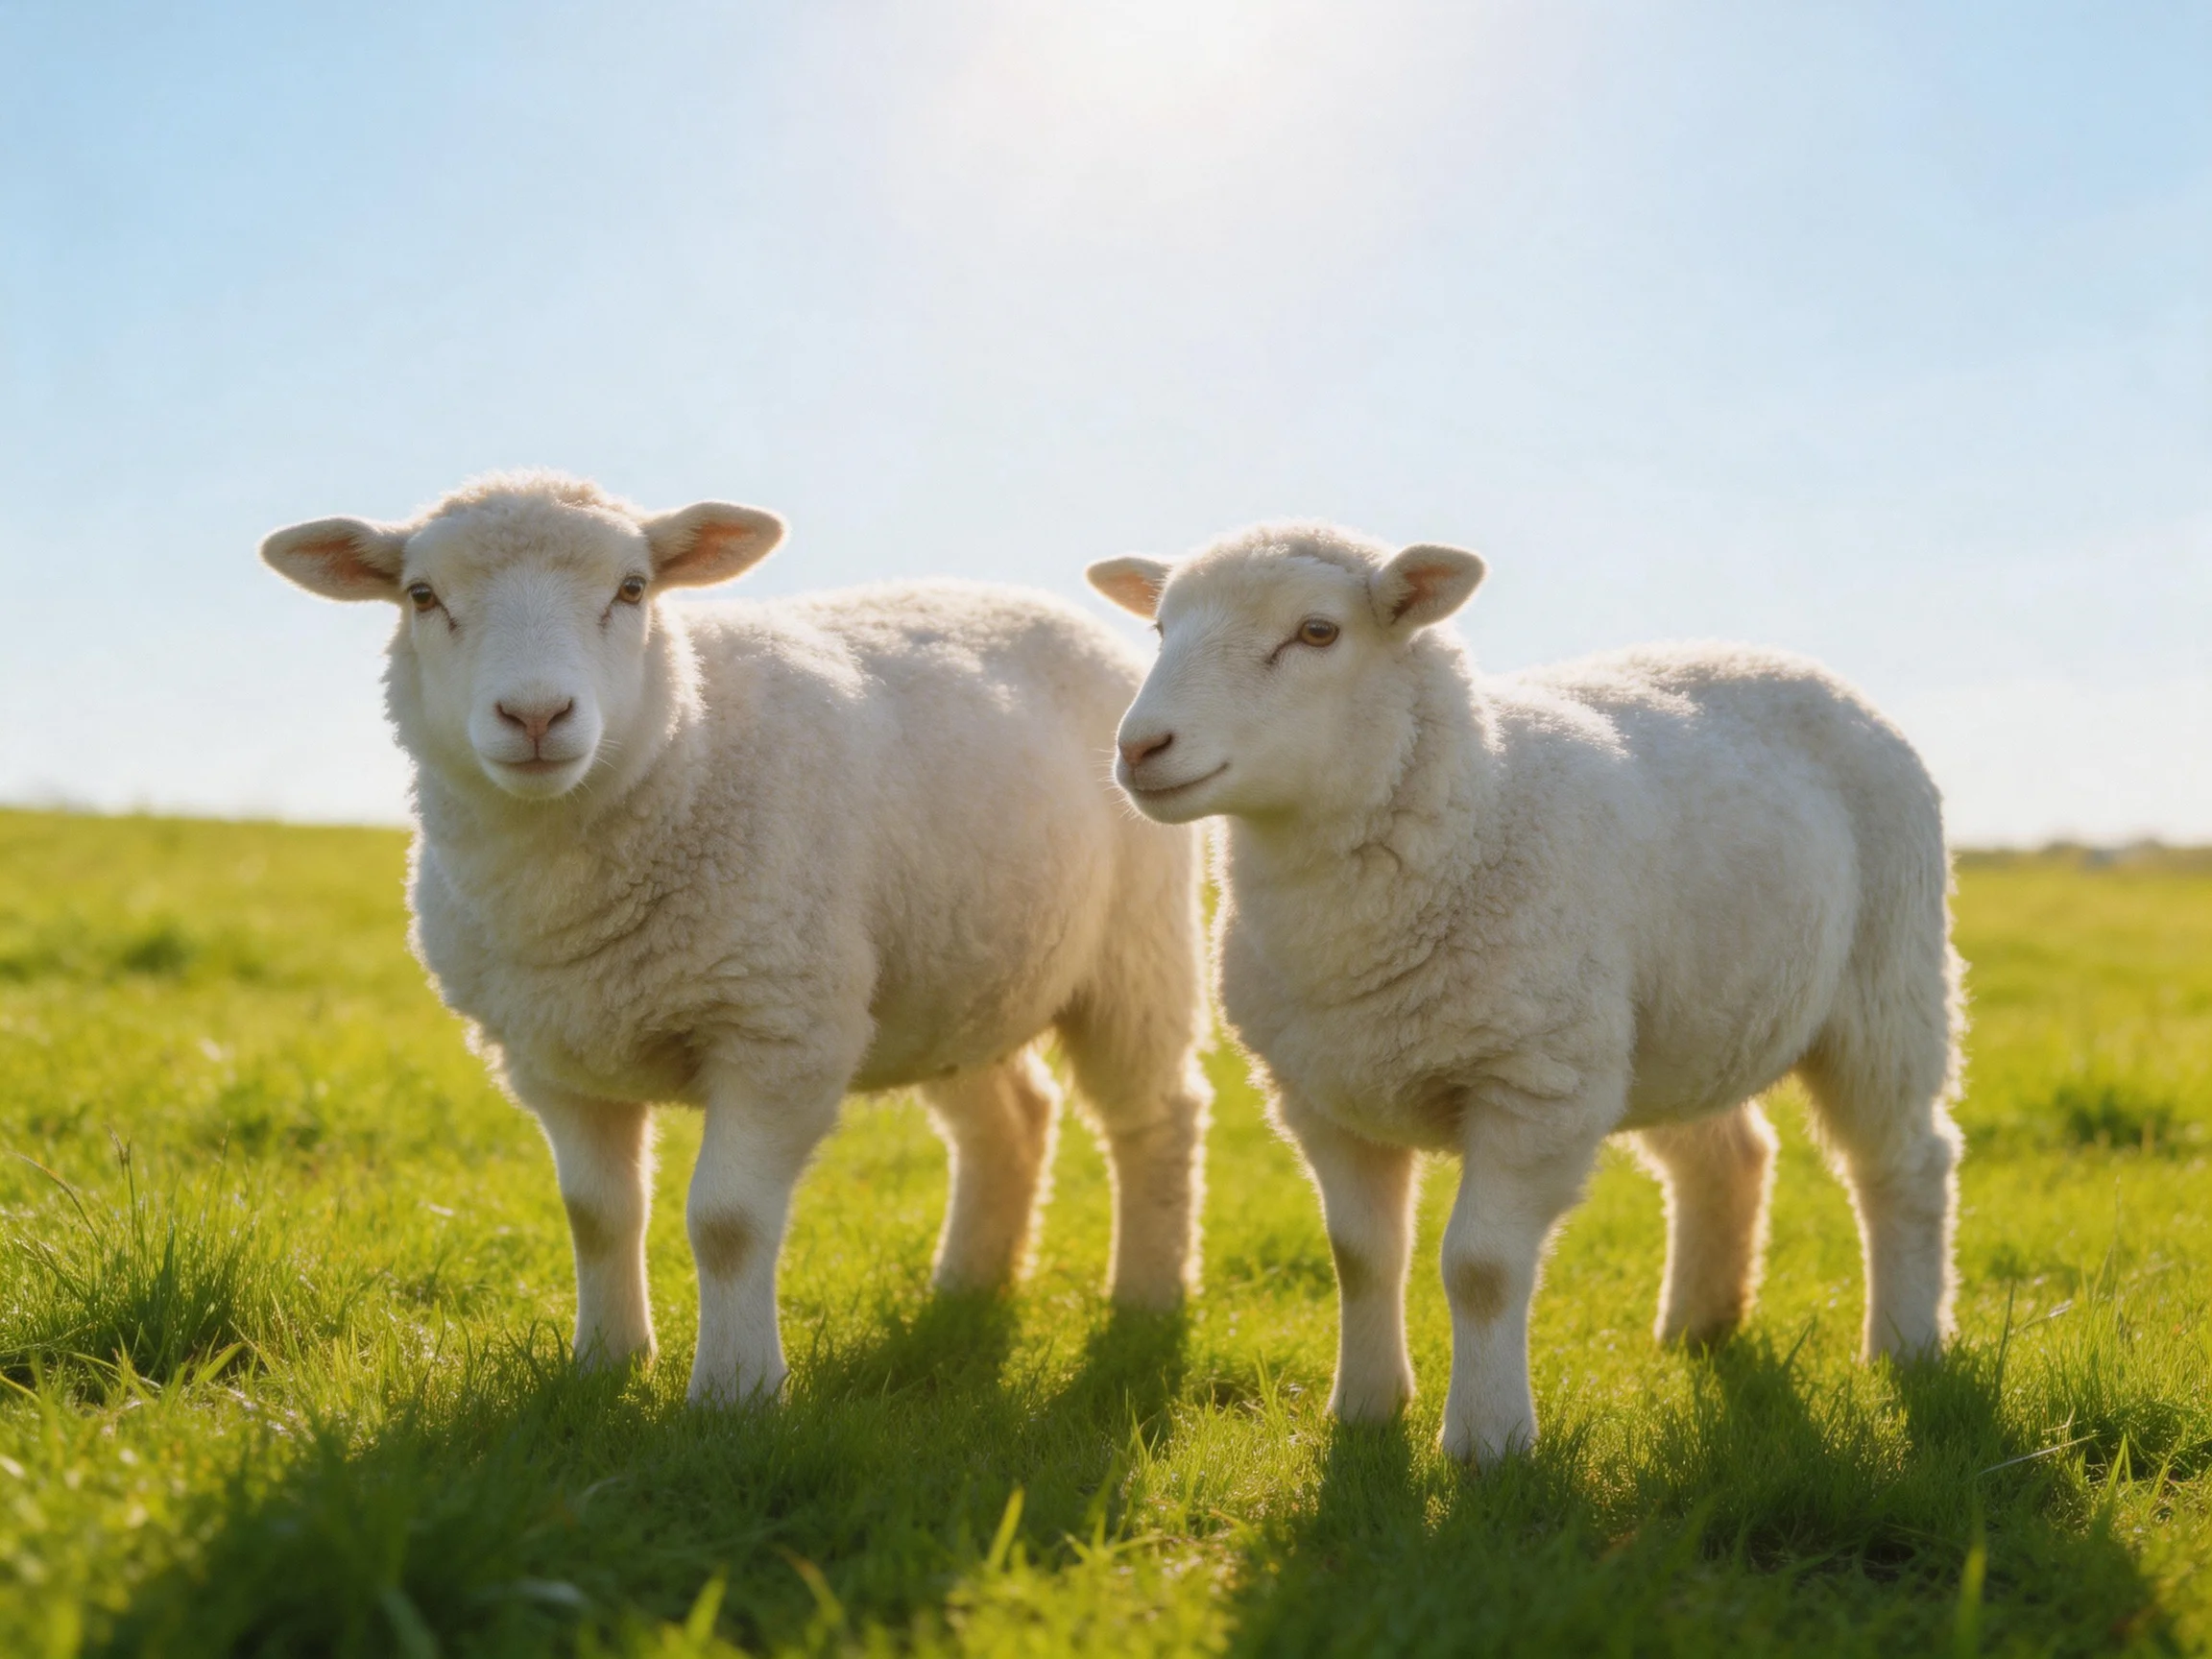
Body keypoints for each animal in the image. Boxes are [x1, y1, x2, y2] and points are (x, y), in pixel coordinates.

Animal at [261, 471, 1211, 1405]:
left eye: (632, 589)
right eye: (422, 596)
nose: (536, 715)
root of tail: (1025, 598)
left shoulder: (779, 1029)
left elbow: (727, 1222)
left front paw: (736, 1394)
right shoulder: (550, 1054)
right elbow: (597, 1215)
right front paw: (606, 1363)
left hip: (1137, 948)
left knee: (1157, 1115)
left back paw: (1147, 1301)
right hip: (951, 977)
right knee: (1012, 1120)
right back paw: (967, 1290)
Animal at [1088, 522, 1963, 1466]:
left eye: (1318, 632)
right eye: (1161, 629)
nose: (1139, 748)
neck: (1479, 805)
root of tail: (1781, 659)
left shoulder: (1534, 1086)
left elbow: (1480, 1267)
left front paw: (1486, 1441)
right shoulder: (1321, 1095)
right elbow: (1359, 1256)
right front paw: (1363, 1410)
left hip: (1886, 982)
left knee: (1905, 1163)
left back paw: (1906, 1345)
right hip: (1680, 1023)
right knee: (1728, 1156)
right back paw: (1697, 1328)